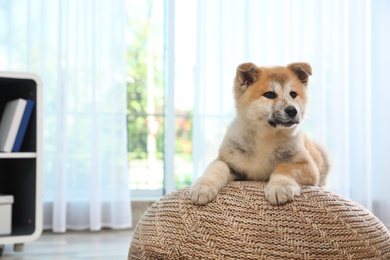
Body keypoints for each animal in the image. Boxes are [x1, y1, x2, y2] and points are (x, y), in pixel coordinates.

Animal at [190, 62, 330, 205]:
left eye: (293, 94)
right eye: (270, 94)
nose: (293, 110)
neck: (265, 136)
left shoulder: (307, 166)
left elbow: (285, 167)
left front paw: (279, 187)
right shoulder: (229, 161)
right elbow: (216, 167)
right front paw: (203, 186)